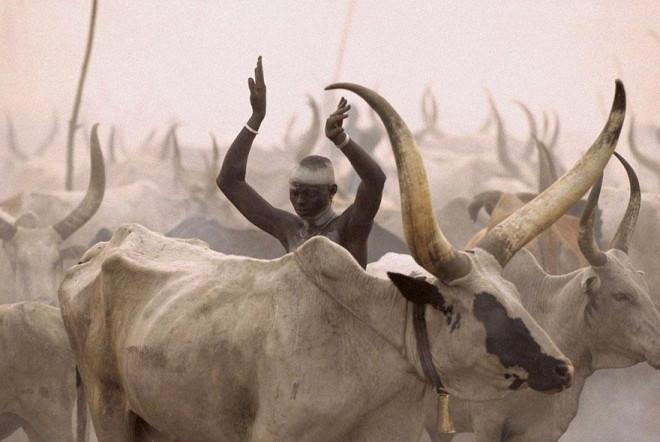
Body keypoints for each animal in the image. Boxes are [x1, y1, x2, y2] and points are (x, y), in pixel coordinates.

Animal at [58, 81, 624, 440]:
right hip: (109, 408)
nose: (560, 367)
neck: (369, 345)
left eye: (513, 294)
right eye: (476, 307)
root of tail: (98, 251)